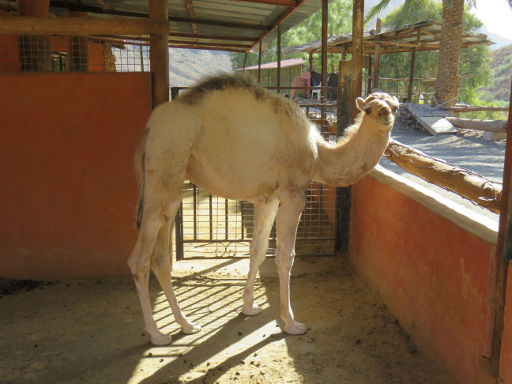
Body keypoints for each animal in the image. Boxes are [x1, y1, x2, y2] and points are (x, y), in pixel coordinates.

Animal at [128, 72, 400, 344]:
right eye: (368, 108)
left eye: (394, 106)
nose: (385, 114)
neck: (318, 157)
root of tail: (148, 130)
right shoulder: (293, 194)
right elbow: (285, 256)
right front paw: (291, 322)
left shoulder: (268, 198)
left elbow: (258, 250)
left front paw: (248, 307)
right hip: (162, 171)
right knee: (139, 260)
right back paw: (157, 334)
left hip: (170, 189)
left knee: (161, 258)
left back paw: (186, 324)